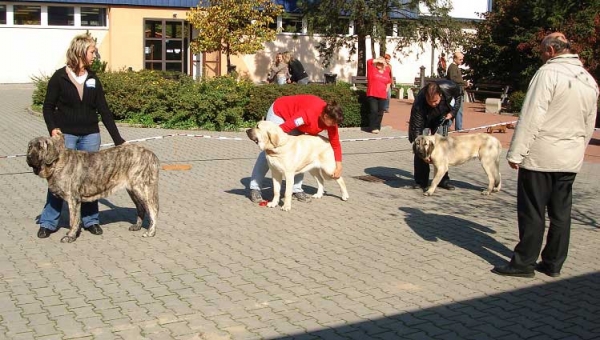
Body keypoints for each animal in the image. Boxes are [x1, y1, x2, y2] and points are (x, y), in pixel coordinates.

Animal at [26, 132, 159, 242]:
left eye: (40, 147)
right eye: (30, 147)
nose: (28, 157)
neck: (57, 163)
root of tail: (152, 155)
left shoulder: (73, 199)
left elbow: (73, 220)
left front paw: (70, 236)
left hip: (142, 188)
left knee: (153, 209)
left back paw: (150, 232)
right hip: (133, 190)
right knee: (141, 208)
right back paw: (137, 226)